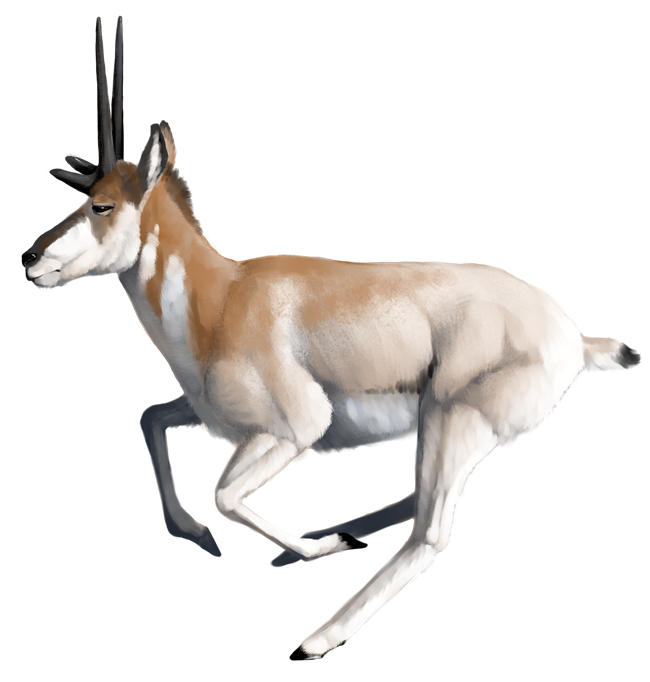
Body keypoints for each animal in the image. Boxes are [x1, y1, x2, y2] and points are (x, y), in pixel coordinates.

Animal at [23, 16, 641, 659]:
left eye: (101, 204)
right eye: (84, 195)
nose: (31, 259)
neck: (223, 298)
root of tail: (571, 332)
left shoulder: (290, 432)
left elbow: (223, 494)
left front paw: (312, 553)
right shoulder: (208, 417)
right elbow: (150, 420)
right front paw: (200, 535)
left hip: (450, 421)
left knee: (429, 533)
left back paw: (318, 635)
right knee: (417, 503)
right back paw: (338, 538)